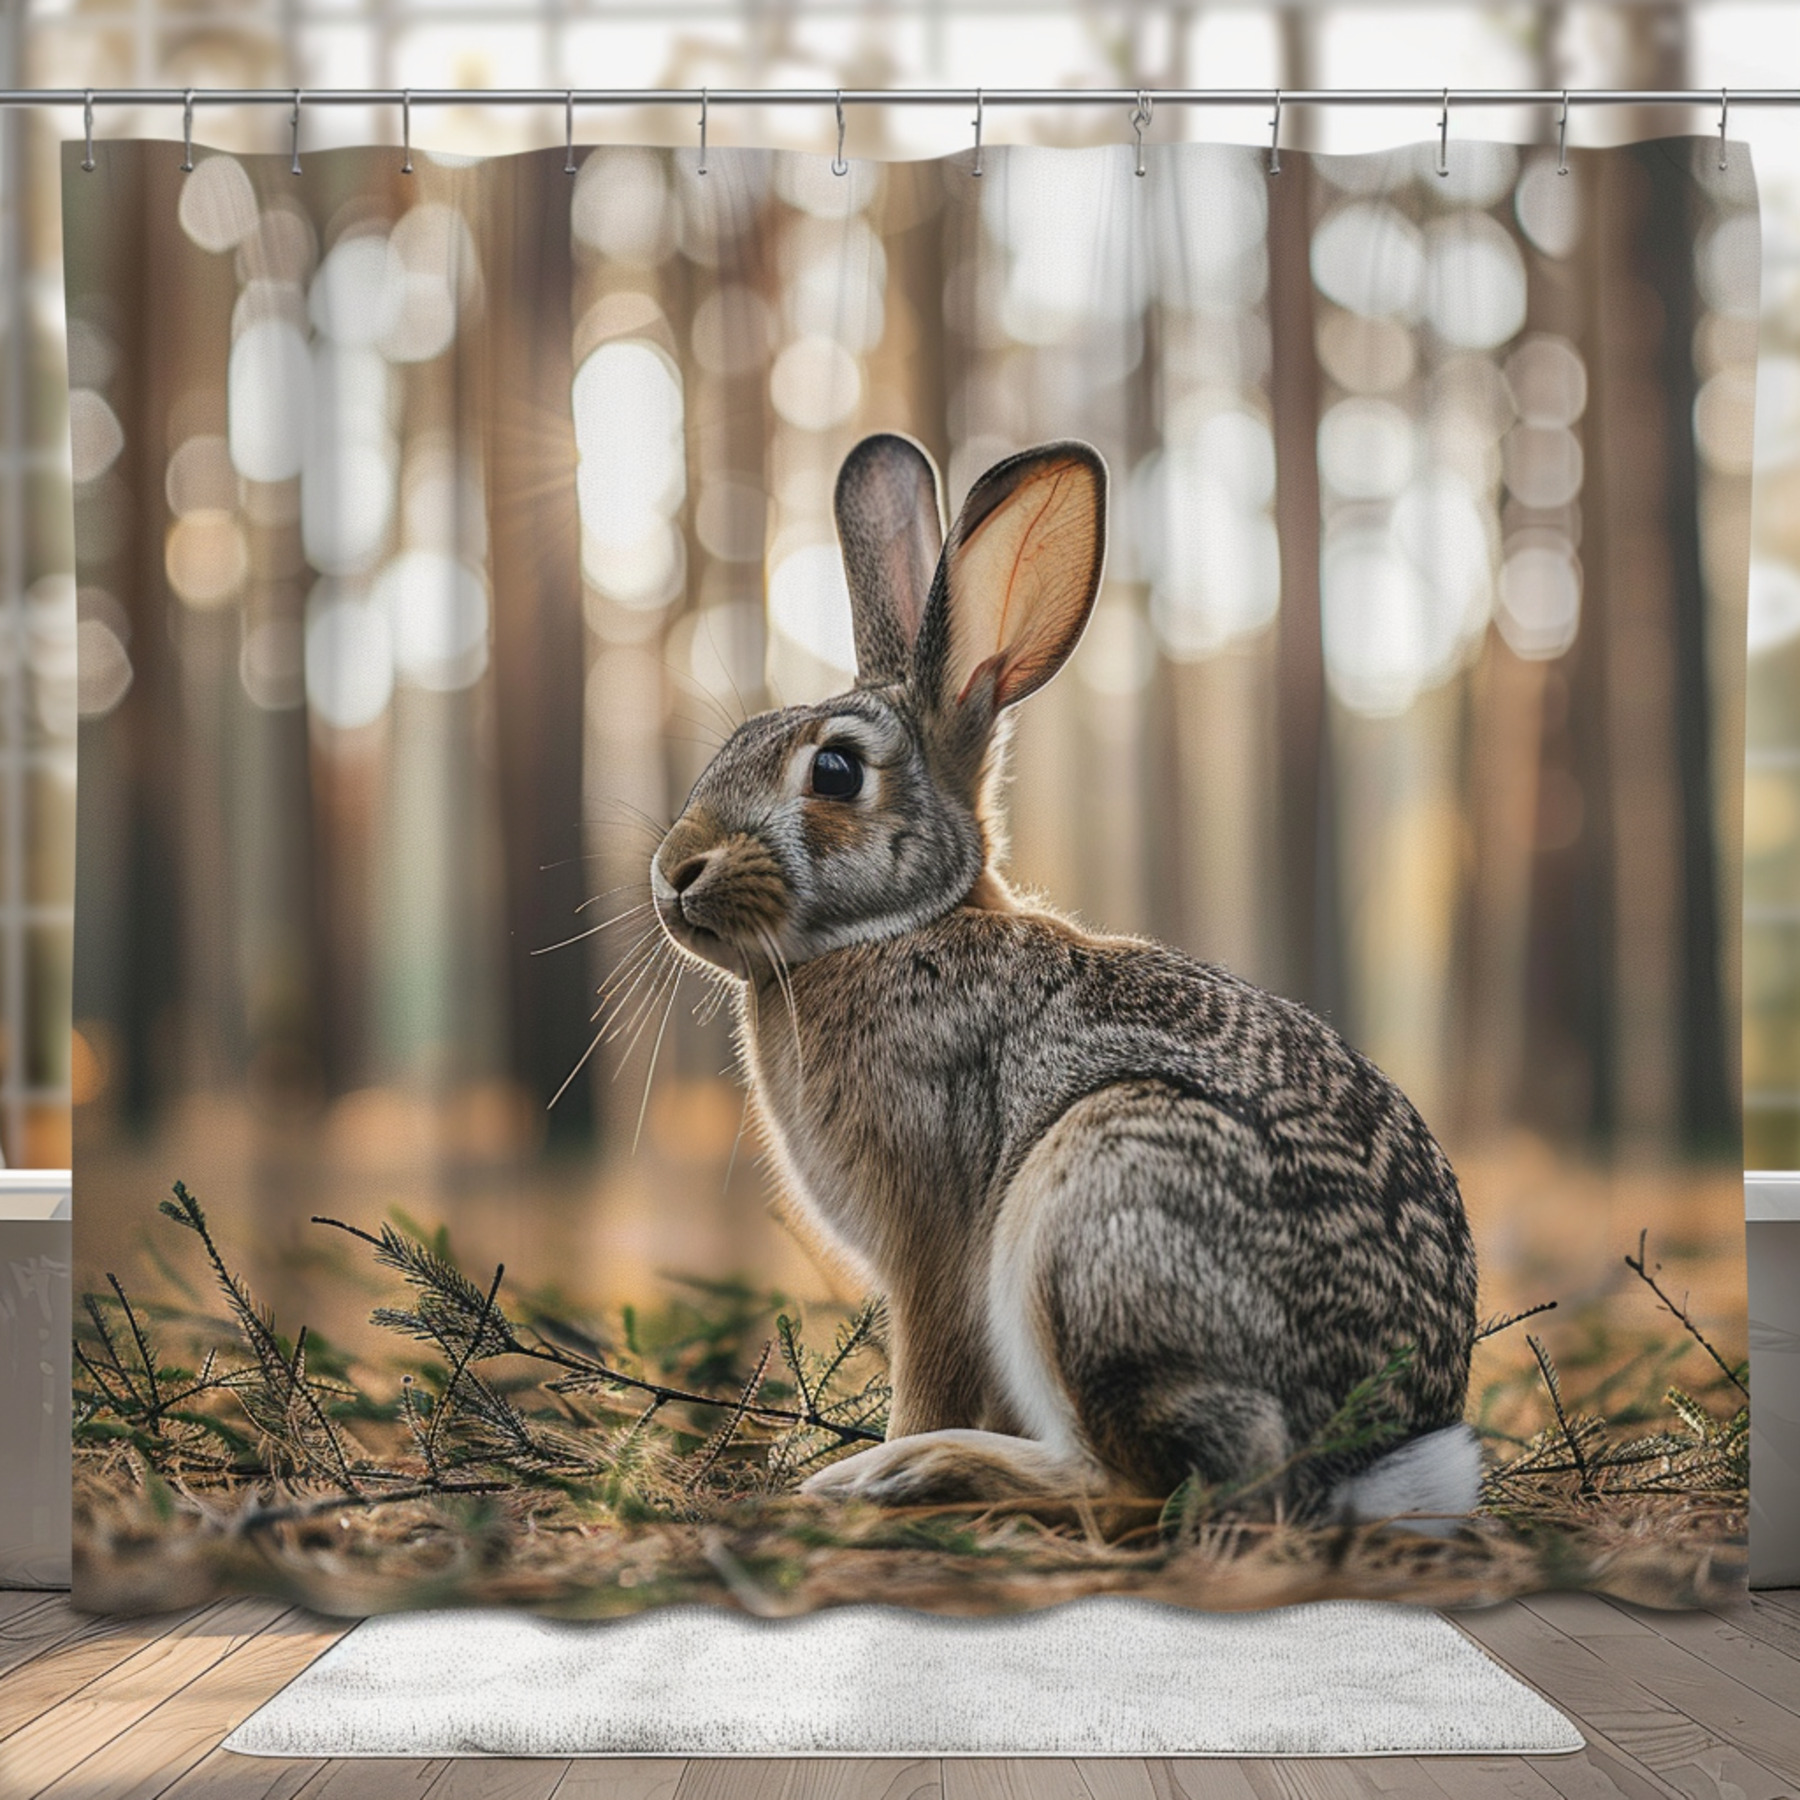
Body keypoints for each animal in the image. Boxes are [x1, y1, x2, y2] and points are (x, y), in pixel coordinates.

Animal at [650, 432, 1481, 1529]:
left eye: (834, 773)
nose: (673, 874)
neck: (898, 927)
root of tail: (1364, 1454)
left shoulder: (935, 1244)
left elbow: (929, 1362)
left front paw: (885, 1447)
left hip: (1092, 1211)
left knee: (1163, 1482)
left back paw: (909, 1471)